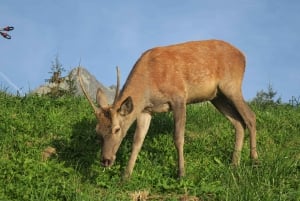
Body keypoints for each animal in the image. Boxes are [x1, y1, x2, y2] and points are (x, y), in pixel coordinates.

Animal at [77, 39, 258, 179]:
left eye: (116, 129)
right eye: (97, 131)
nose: (105, 160)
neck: (148, 84)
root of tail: (243, 55)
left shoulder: (179, 97)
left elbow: (178, 137)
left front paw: (181, 173)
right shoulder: (145, 110)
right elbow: (137, 141)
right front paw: (126, 176)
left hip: (232, 85)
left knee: (250, 117)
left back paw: (254, 160)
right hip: (216, 96)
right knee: (238, 122)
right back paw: (234, 163)